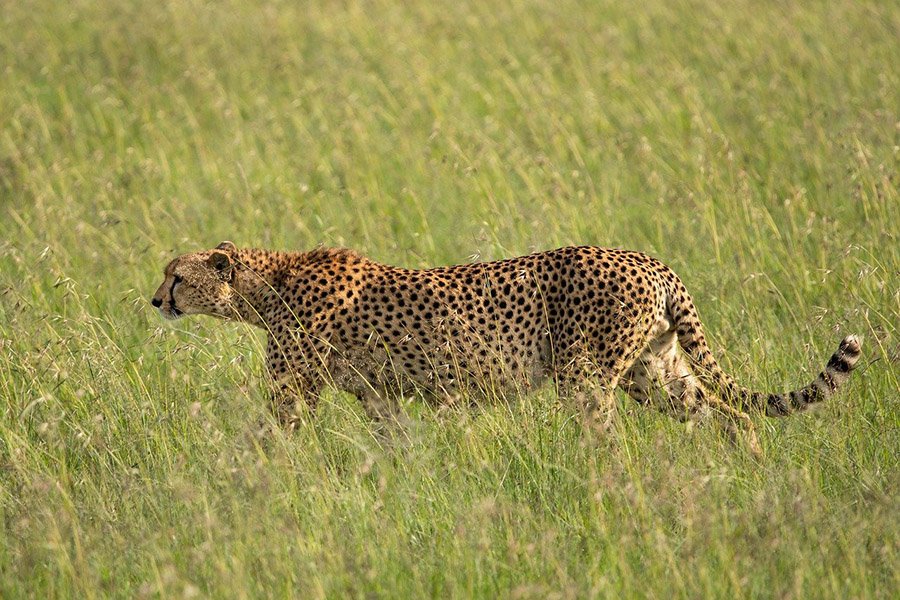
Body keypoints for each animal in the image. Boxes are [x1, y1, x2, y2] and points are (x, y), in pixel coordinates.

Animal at [151, 241, 862, 454]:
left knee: (607, 441)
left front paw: (251, 483)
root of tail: (647, 259)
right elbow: (393, 442)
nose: (156, 300)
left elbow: (270, 439)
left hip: (586, 375)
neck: (267, 283)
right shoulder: (380, 395)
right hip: (655, 372)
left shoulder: (293, 389)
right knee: (732, 416)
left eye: (176, 275)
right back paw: (749, 471)